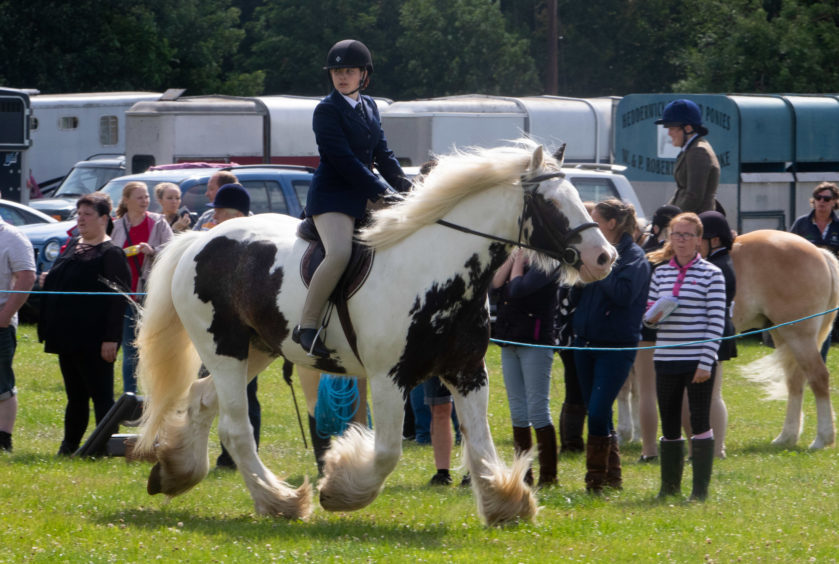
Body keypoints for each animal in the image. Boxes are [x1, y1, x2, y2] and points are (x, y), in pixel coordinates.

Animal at [131, 141, 616, 524]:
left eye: (579, 197)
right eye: (552, 203)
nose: (604, 258)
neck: (439, 269)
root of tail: (197, 240)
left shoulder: (467, 373)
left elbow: (479, 446)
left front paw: (506, 504)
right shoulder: (389, 378)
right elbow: (386, 453)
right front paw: (340, 488)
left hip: (258, 349)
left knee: (202, 400)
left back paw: (175, 472)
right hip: (225, 349)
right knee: (235, 427)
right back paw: (281, 501)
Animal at [732, 229, 836, 450]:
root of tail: (820, 252)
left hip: (799, 337)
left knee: (818, 377)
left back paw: (821, 439)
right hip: (784, 335)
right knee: (795, 380)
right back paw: (786, 437)